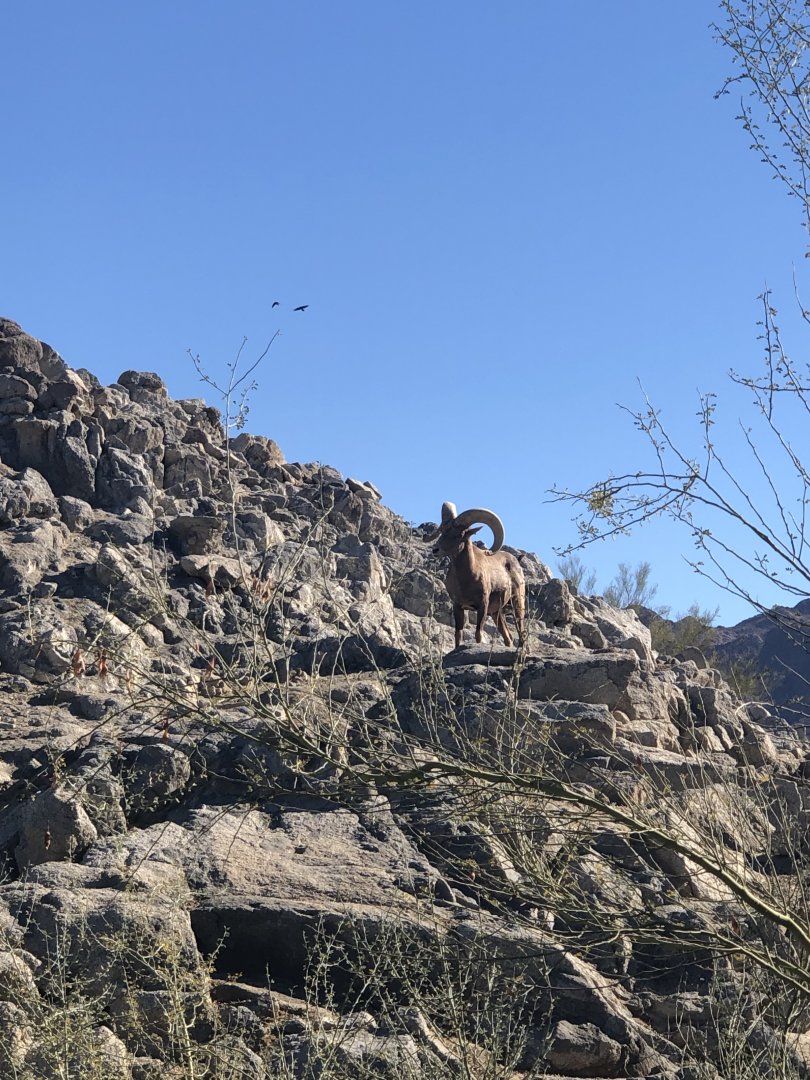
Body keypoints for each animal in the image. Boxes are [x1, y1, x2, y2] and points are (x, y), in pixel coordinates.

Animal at [425, 502, 526, 649]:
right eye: (443, 531)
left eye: (459, 534)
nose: (435, 550)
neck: (466, 579)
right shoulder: (458, 606)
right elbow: (458, 634)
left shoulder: (482, 605)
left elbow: (478, 634)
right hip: (496, 614)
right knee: (508, 637)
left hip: (517, 603)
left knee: (521, 632)